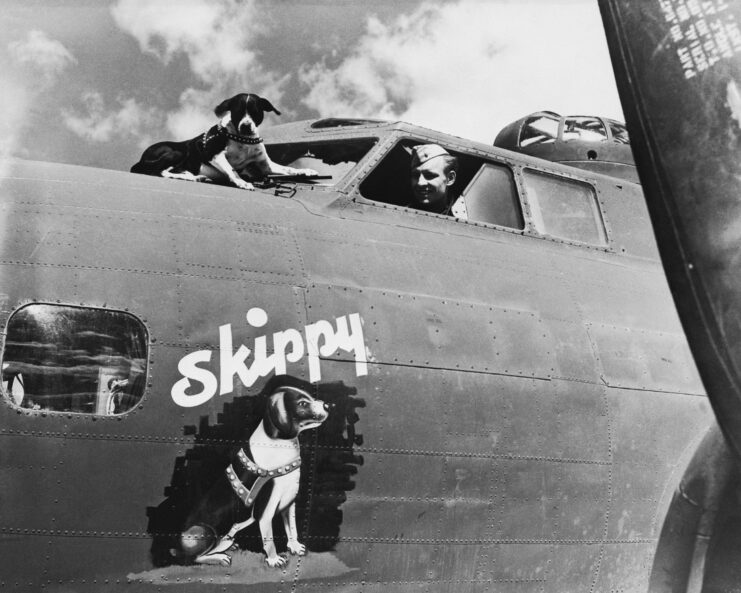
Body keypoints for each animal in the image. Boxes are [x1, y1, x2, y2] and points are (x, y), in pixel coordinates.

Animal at [130, 93, 316, 190]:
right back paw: (193, 178)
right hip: (176, 152)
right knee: (160, 172)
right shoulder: (216, 156)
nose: (246, 126)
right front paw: (242, 182)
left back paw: (197, 177)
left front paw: (307, 171)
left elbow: (289, 169)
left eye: (255, 111)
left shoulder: (267, 166)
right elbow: (232, 170)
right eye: (237, 111)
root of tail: (140, 159)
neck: (244, 141)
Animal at [175, 386, 328, 568]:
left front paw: (295, 547)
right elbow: (269, 540)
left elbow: (292, 529)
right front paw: (274, 559)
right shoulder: (265, 513)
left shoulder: (288, 504)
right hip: (203, 532)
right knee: (194, 559)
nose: (327, 405)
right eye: (302, 403)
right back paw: (219, 558)